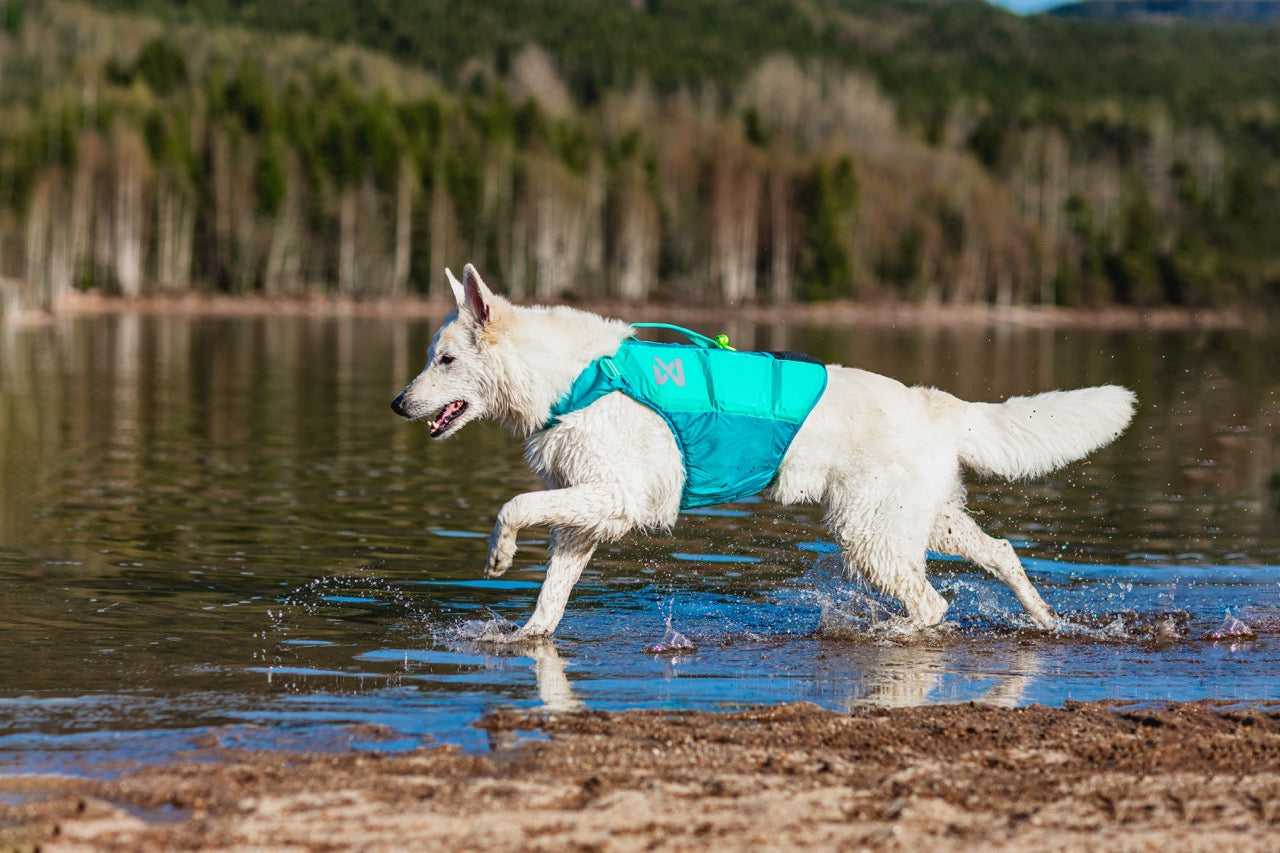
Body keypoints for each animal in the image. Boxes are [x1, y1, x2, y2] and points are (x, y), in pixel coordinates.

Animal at [391, 266, 1141, 637]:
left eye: (446, 360)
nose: (398, 404)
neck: (568, 378)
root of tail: (937, 404)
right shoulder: (590, 515)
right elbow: (551, 597)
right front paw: (526, 639)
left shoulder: (616, 497)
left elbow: (514, 505)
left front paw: (498, 554)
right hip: (922, 524)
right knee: (1004, 555)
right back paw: (1047, 619)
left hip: (871, 537)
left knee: (933, 606)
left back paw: (895, 634)